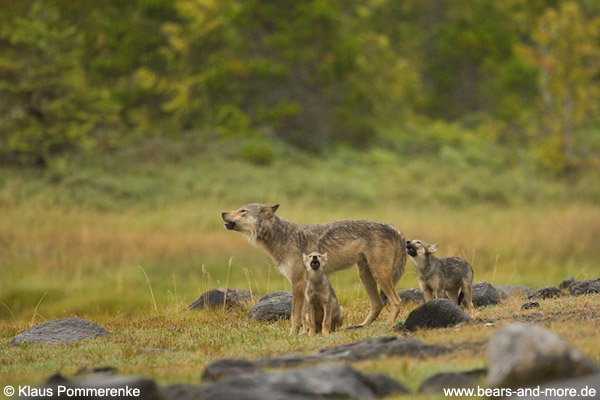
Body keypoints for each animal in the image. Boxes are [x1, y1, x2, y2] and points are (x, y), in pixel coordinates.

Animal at [221, 203, 408, 334]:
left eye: (243, 211)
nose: (223, 213)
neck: (282, 237)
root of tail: (395, 228)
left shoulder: (297, 282)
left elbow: (295, 315)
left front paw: (292, 334)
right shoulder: (304, 286)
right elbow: (306, 316)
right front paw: (306, 333)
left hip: (378, 274)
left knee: (396, 301)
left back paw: (388, 325)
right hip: (365, 275)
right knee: (377, 304)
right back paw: (361, 326)